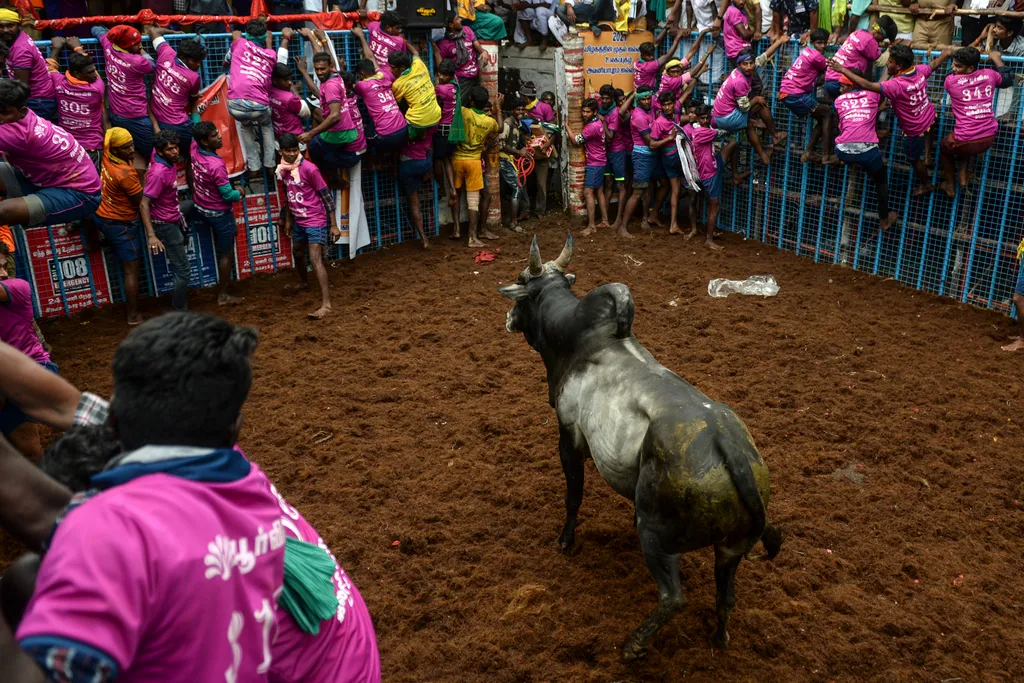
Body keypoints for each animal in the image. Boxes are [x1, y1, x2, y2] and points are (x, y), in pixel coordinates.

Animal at [497, 235, 782, 663]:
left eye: (519, 281)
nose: (508, 318)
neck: (574, 339)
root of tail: (730, 449)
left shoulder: (569, 436)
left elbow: (573, 496)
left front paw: (565, 541)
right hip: (730, 550)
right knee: (726, 596)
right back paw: (719, 638)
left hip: (654, 534)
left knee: (673, 598)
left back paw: (634, 645)